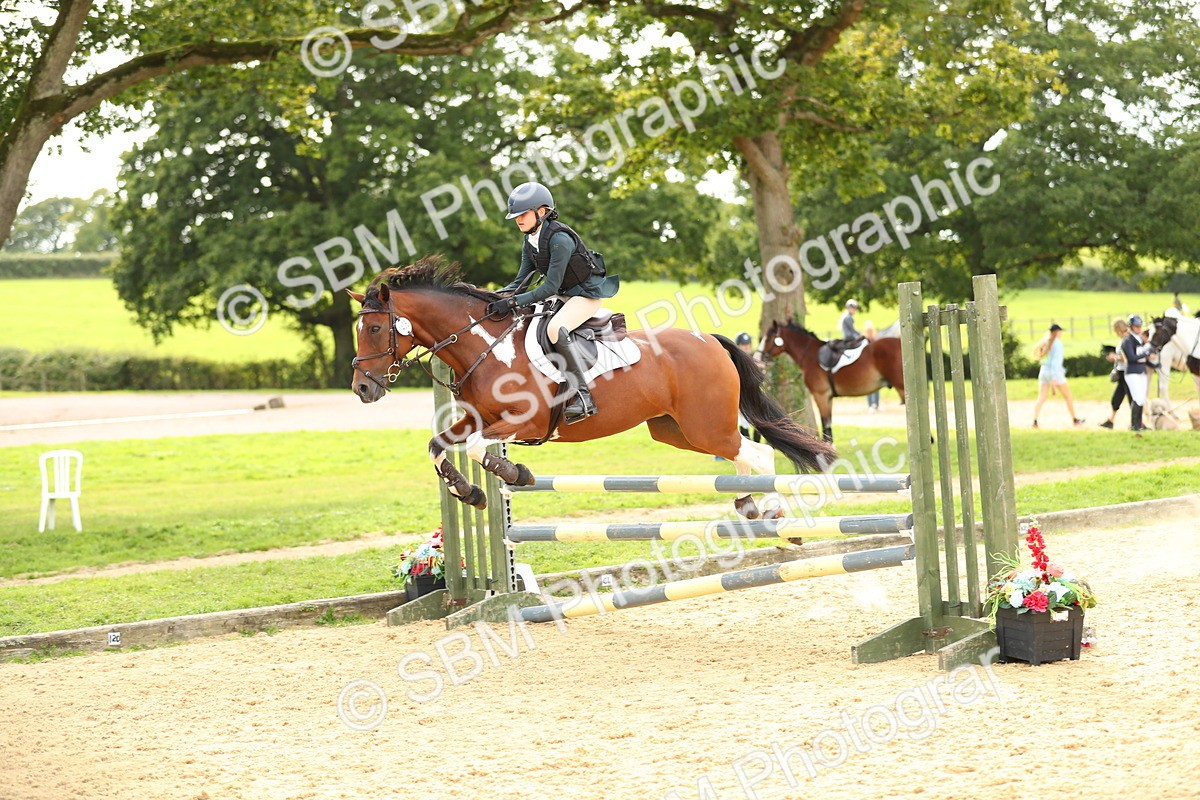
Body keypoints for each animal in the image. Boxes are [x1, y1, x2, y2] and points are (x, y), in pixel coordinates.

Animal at [348, 258, 835, 520]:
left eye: (374, 328)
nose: (362, 389)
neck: (485, 346)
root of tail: (709, 341)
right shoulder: (477, 418)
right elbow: (438, 446)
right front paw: (472, 493)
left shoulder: (523, 421)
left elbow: (476, 448)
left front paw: (512, 473)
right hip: (677, 430)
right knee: (739, 452)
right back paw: (746, 501)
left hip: (705, 425)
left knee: (758, 452)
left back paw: (768, 507)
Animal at [757, 320, 906, 442]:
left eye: (767, 338)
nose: (758, 357)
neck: (810, 355)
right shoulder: (828, 398)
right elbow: (828, 426)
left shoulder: (821, 396)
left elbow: (825, 426)